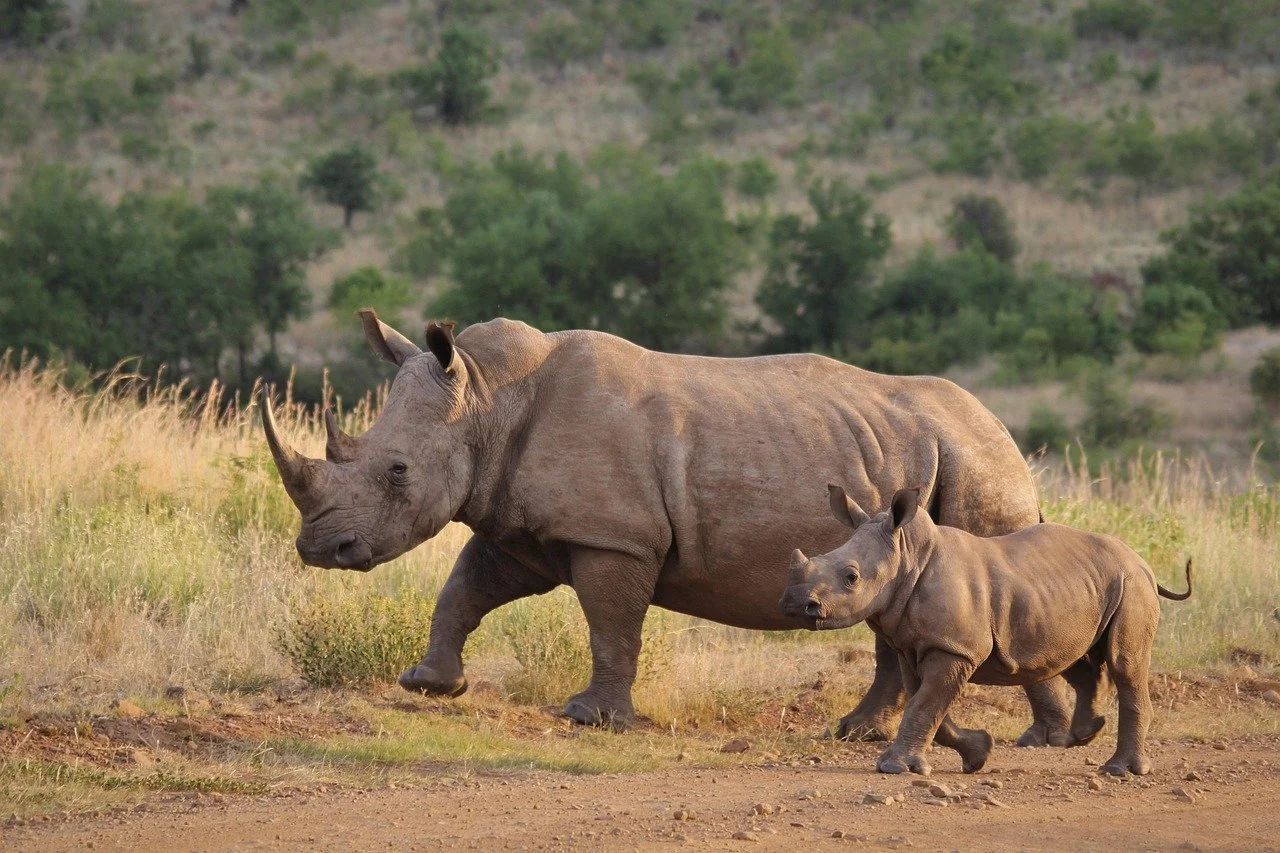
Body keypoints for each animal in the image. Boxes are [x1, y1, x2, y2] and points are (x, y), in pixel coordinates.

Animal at [260, 311, 1074, 742]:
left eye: (397, 471)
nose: (320, 548)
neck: (486, 400)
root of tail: (1004, 433)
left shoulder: (613, 536)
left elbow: (611, 624)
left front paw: (592, 719)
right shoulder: (520, 526)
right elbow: (465, 587)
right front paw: (430, 684)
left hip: (975, 466)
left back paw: (1044, 738)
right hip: (927, 463)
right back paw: (862, 733)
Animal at [780, 486, 1193, 777]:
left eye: (851, 577)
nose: (795, 603)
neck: (907, 555)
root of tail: (1143, 562)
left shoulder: (954, 648)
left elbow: (924, 704)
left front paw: (893, 767)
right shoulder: (916, 645)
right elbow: (926, 704)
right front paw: (978, 753)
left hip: (1131, 585)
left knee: (1125, 664)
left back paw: (1119, 770)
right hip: (1083, 588)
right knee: (1073, 657)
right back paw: (1085, 734)